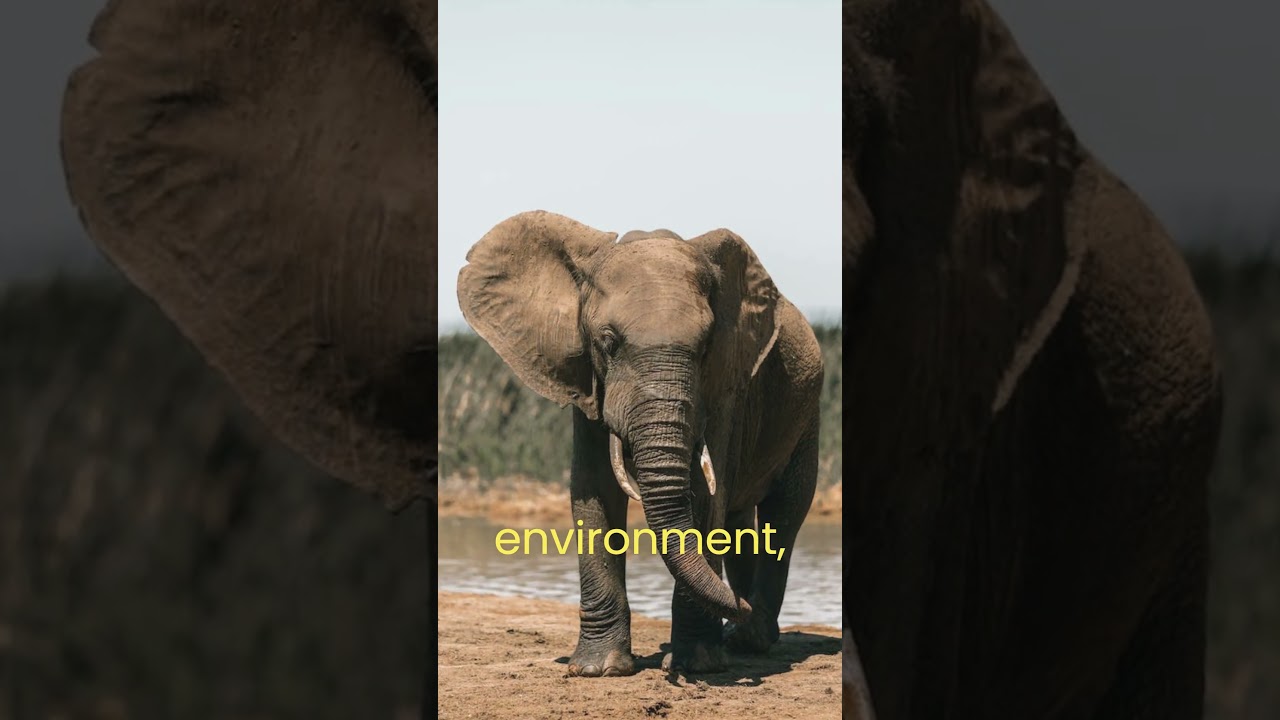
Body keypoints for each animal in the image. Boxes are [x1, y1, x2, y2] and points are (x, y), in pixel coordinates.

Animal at [456, 212, 824, 675]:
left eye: (706, 347)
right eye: (608, 343)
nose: (736, 606)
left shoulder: (724, 386)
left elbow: (706, 496)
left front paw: (697, 665)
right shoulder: (587, 381)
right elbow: (594, 489)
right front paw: (598, 670)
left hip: (808, 411)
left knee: (786, 511)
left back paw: (750, 637)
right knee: (741, 517)